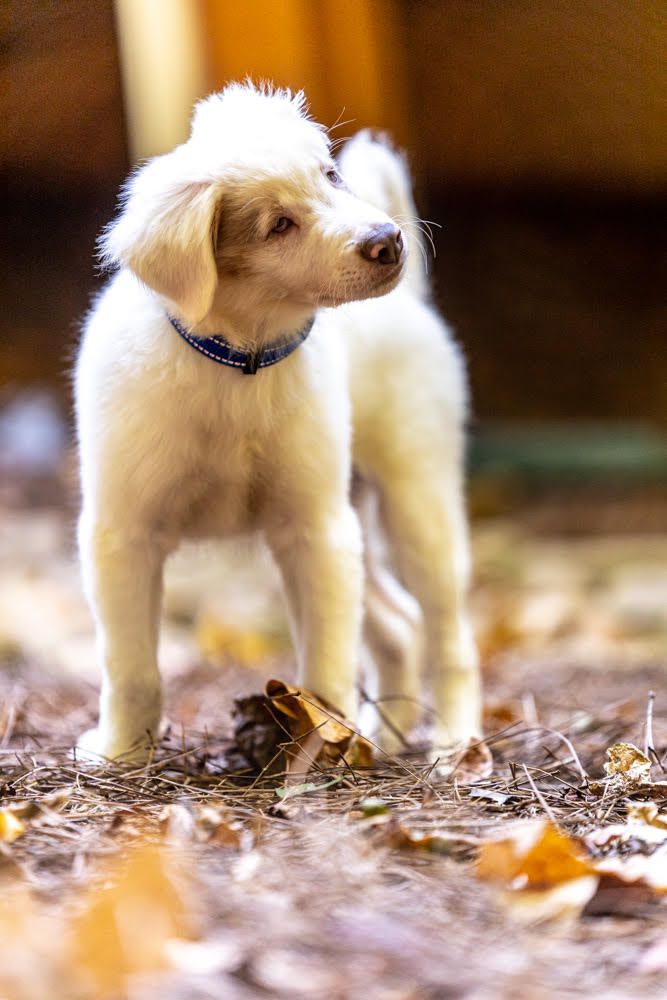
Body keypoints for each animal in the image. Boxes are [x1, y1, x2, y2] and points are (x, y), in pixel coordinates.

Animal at [77, 84, 480, 756]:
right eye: (278, 226)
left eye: (331, 176)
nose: (389, 240)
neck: (239, 363)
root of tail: (409, 299)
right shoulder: (122, 533)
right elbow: (130, 666)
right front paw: (121, 755)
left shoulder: (316, 529)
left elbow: (326, 666)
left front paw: (327, 748)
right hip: (356, 520)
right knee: (401, 624)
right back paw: (388, 737)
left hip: (414, 501)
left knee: (449, 632)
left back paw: (454, 739)